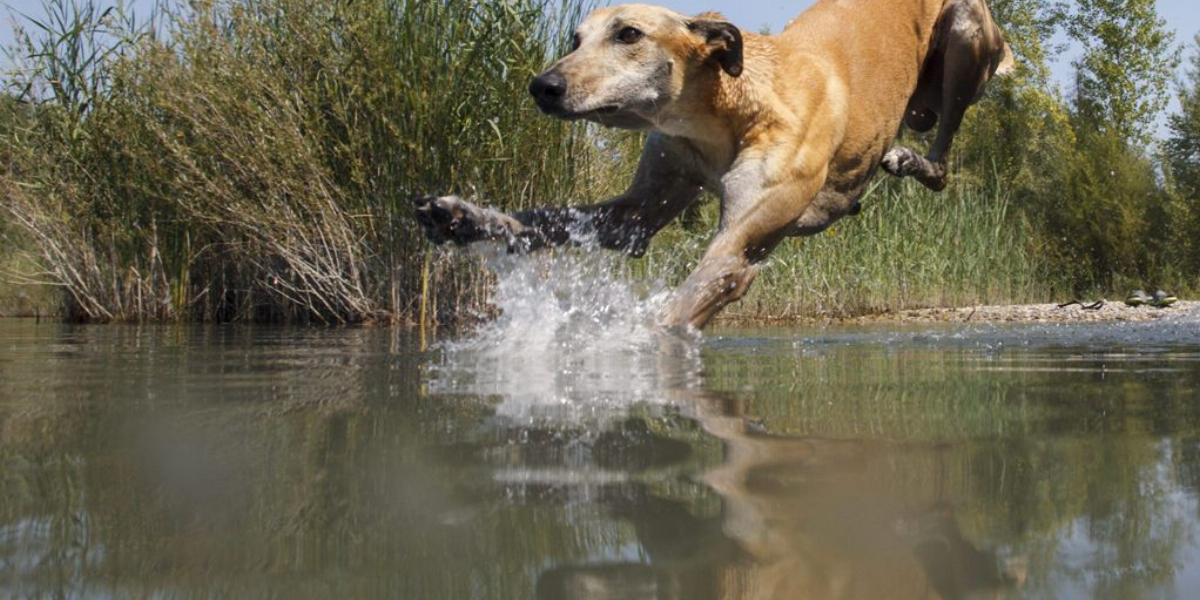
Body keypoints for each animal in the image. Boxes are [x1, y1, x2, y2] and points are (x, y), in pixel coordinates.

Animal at [415, 0, 1012, 331]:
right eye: (576, 38)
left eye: (629, 34)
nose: (543, 86)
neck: (734, 104)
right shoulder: (641, 205)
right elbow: (548, 219)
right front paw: (462, 216)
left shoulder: (736, 251)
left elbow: (683, 304)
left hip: (967, 32)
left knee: (943, 160)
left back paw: (911, 158)